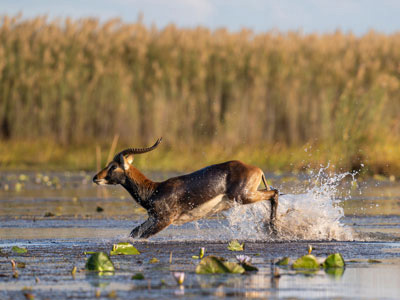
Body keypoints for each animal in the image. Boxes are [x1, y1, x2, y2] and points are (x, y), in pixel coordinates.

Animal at [93, 138, 278, 239]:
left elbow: (142, 237)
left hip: (243, 196)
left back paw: (274, 230)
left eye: (113, 166)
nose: (95, 177)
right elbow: (133, 233)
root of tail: (257, 169)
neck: (154, 189)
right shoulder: (152, 218)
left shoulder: (165, 220)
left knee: (274, 193)